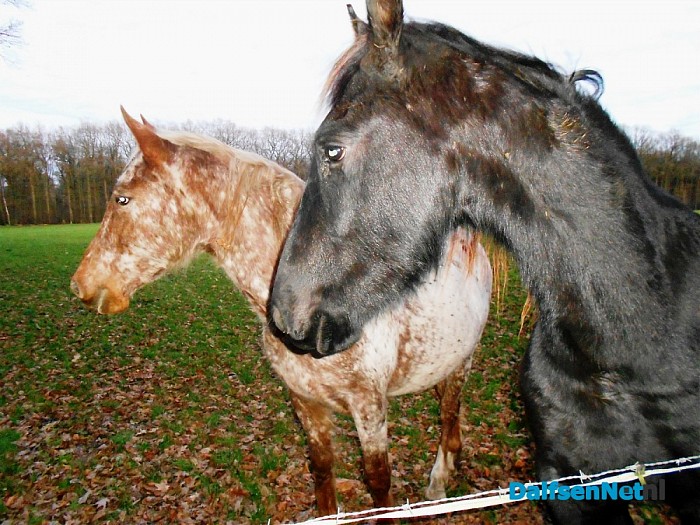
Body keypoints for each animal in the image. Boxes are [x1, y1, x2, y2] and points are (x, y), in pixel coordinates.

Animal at [70, 108, 492, 517]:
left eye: (122, 199)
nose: (81, 285)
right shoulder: (304, 401)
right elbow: (322, 471)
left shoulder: (369, 406)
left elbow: (378, 483)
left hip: (461, 362)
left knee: (448, 417)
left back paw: (438, 482)